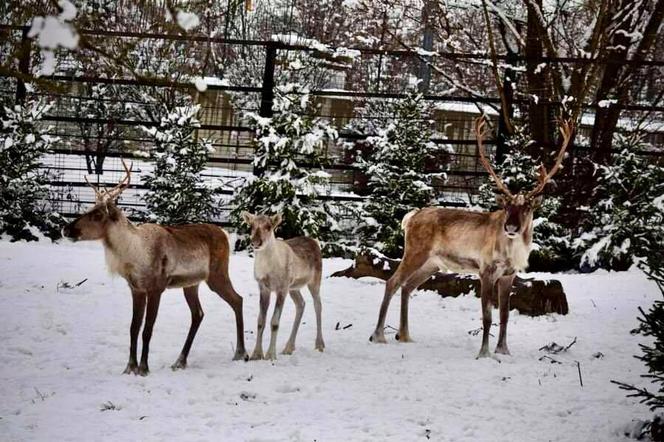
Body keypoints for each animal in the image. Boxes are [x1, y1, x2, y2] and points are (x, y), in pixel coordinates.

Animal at [244, 212, 326, 360]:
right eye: (251, 226)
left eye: (269, 226)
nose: (256, 242)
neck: (267, 267)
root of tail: (314, 242)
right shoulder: (263, 287)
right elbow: (260, 321)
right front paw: (256, 354)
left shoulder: (281, 288)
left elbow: (274, 322)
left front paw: (270, 355)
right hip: (294, 287)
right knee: (301, 304)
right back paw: (289, 347)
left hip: (314, 281)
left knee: (318, 305)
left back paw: (319, 344)